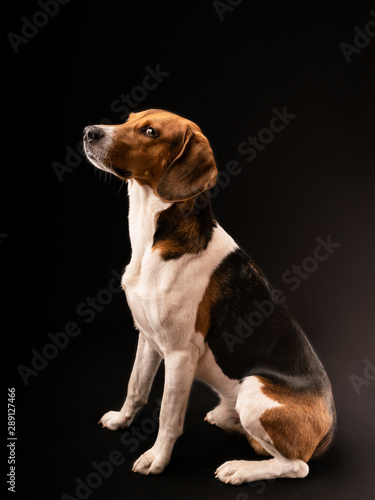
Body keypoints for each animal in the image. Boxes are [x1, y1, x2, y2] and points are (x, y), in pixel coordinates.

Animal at [83, 108, 336, 484]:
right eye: (128, 118)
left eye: (150, 132)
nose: (89, 132)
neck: (153, 240)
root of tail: (329, 429)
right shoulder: (147, 337)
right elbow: (136, 387)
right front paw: (121, 419)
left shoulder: (179, 355)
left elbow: (168, 416)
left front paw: (157, 458)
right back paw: (226, 419)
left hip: (253, 390)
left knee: (295, 465)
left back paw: (241, 468)